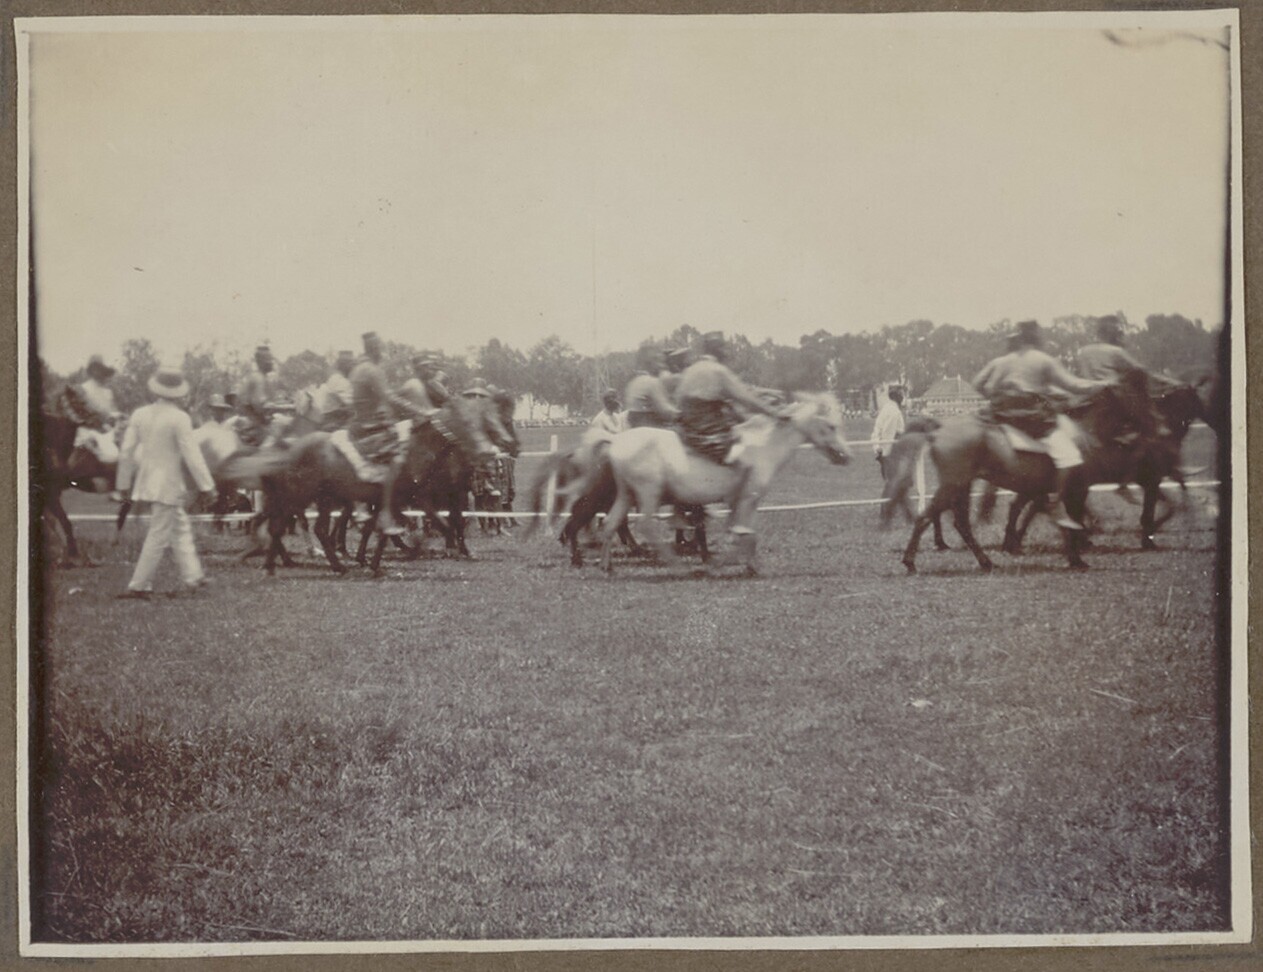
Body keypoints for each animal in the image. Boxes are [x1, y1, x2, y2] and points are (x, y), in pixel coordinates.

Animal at [597, 392, 852, 575]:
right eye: (830, 425)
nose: (846, 456)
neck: (763, 446)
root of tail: (616, 442)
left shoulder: (742, 502)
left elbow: (743, 534)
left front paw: (744, 564)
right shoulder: (748, 498)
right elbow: (744, 535)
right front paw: (732, 564)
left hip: (626, 494)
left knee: (610, 524)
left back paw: (607, 567)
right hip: (648, 494)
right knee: (645, 526)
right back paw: (677, 566)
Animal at [901, 384, 1148, 573]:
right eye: (1133, 400)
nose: (1143, 434)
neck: (1082, 434)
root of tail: (938, 427)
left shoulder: (1048, 491)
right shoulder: (1076, 490)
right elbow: (1071, 522)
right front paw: (1076, 558)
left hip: (961, 486)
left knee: (959, 523)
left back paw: (986, 562)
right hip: (954, 484)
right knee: (927, 518)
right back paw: (911, 562)